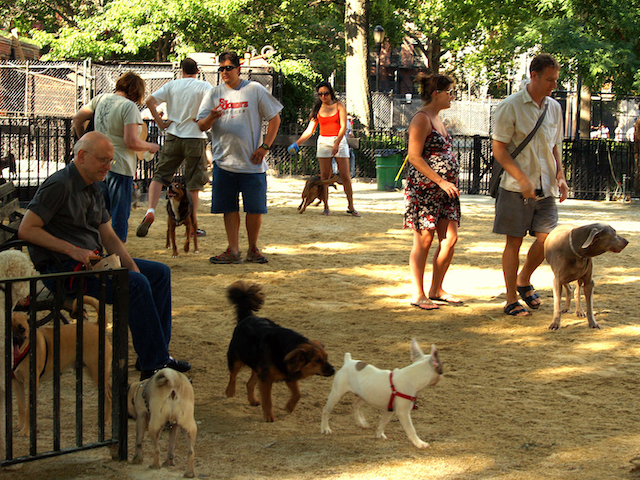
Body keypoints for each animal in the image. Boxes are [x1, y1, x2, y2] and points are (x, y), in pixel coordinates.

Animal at [225, 280, 336, 422]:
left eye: (327, 357)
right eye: (317, 360)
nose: (333, 370)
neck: (285, 349)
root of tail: (247, 317)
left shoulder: (288, 375)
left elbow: (298, 394)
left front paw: (289, 407)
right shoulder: (266, 379)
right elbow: (268, 400)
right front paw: (269, 417)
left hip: (258, 368)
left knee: (249, 383)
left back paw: (252, 400)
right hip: (236, 359)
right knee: (233, 376)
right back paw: (230, 391)